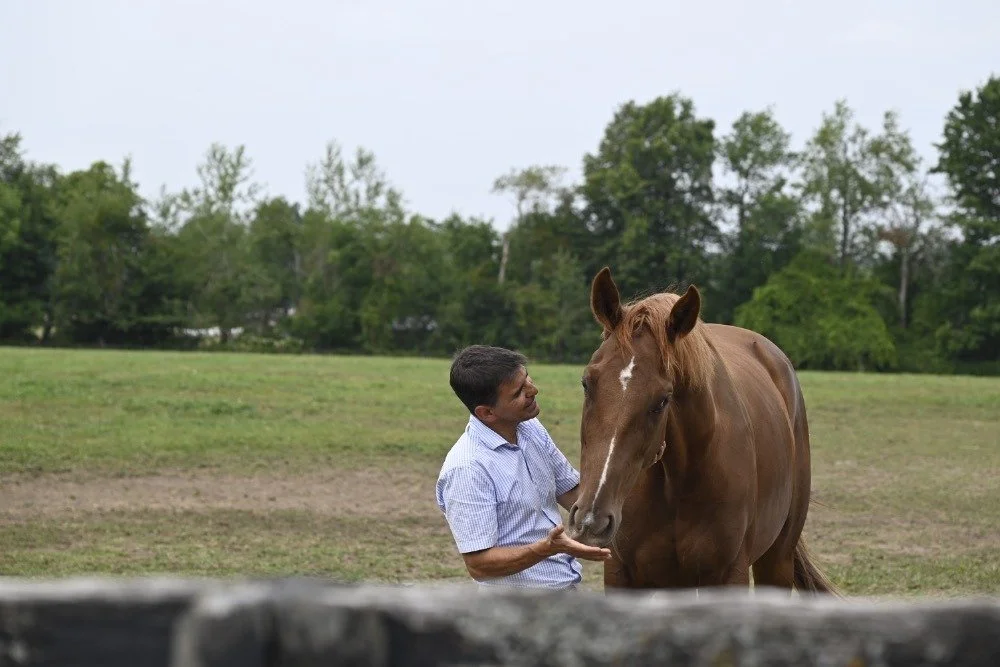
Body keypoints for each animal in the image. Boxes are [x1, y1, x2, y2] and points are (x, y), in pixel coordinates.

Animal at [565, 266, 838, 595]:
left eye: (662, 400)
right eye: (586, 383)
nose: (591, 521)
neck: (677, 482)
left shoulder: (729, 575)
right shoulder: (621, 574)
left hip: (777, 561)